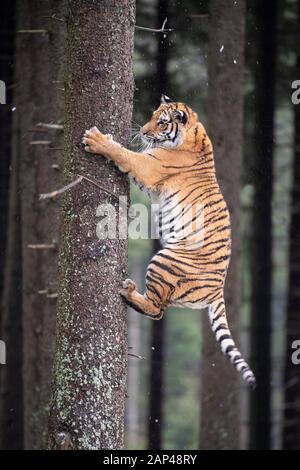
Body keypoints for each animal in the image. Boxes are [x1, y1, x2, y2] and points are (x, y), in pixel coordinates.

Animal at [82, 94, 255, 390]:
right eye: (152, 116)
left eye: (161, 122)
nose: (142, 131)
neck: (194, 132)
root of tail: (219, 288)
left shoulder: (148, 165)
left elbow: (123, 153)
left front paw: (96, 138)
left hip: (164, 260)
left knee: (158, 310)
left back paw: (129, 291)